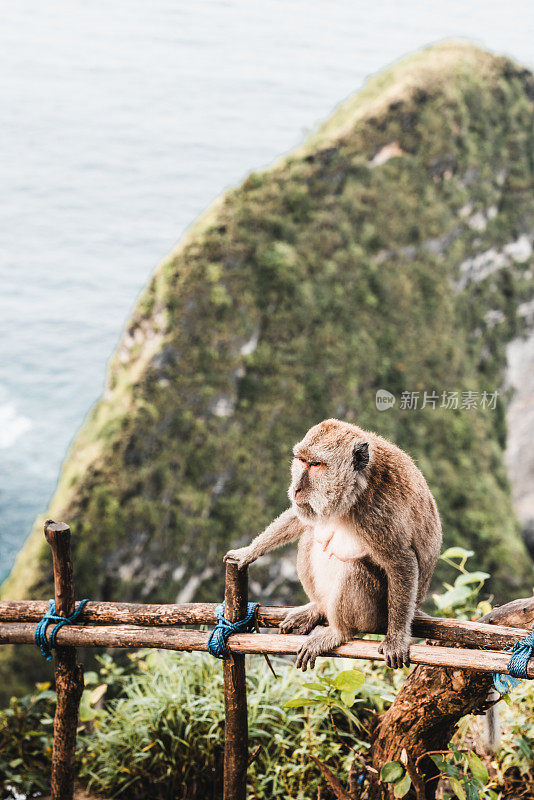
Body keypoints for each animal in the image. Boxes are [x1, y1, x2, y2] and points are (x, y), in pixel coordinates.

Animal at [224, 416, 442, 672]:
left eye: (316, 465)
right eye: (302, 461)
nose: (297, 488)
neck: (356, 489)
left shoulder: (378, 514)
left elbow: (401, 562)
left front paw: (396, 639)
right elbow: (300, 517)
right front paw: (247, 552)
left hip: (377, 617)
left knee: (355, 568)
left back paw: (340, 632)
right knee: (311, 535)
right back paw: (317, 608)